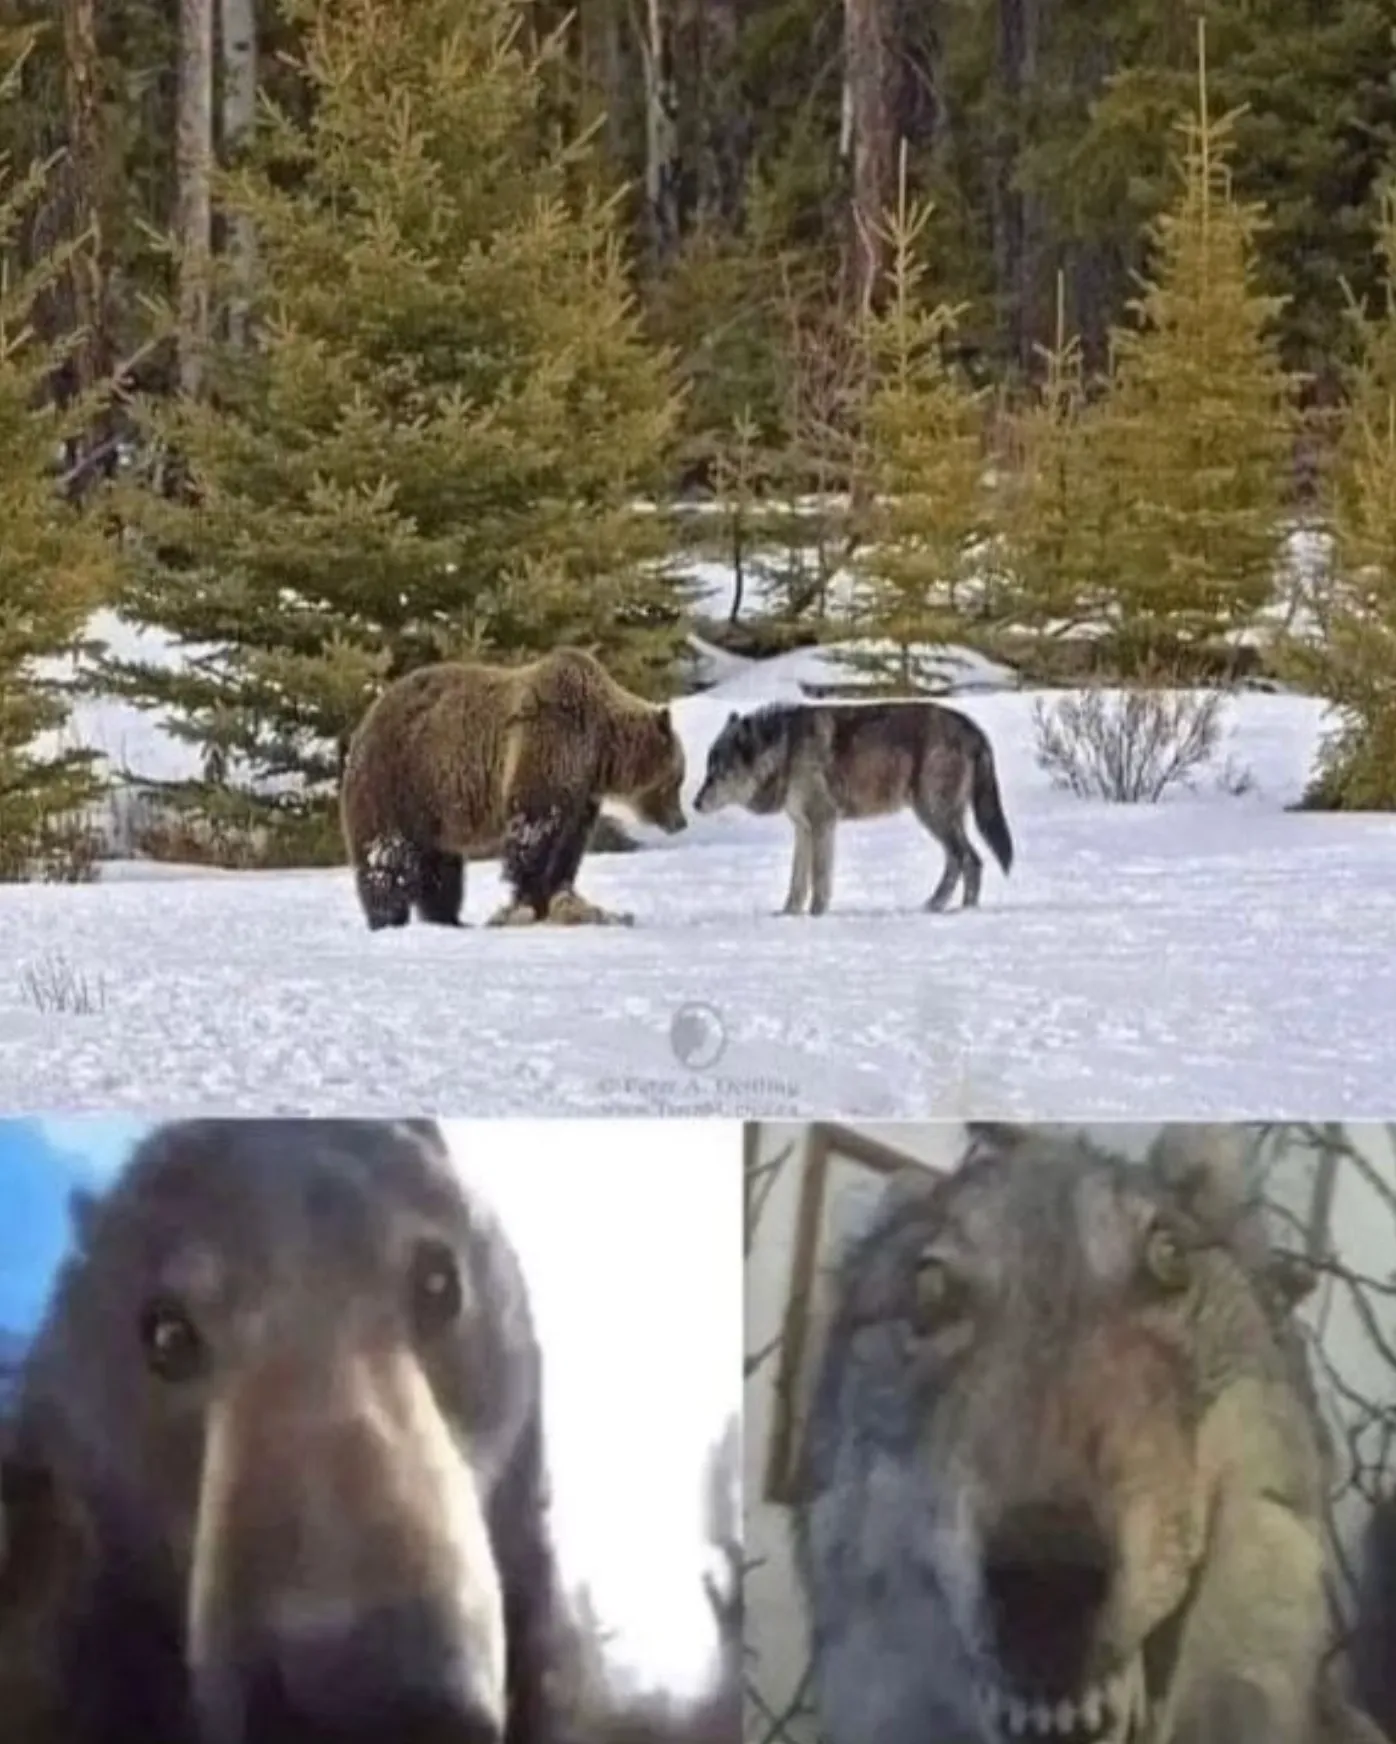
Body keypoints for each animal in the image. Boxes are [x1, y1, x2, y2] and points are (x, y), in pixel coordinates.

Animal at [339, 648, 688, 933]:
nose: (681, 821)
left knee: (441, 868)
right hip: (397, 780)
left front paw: (558, 895)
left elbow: (569, 845)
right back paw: (388, 918)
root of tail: (365, 722)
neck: (599, 748)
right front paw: (527, 900)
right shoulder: (551, 745)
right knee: (387, 857)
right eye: (677, 779)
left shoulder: (582, 792)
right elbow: (533, 830)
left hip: (432, 807)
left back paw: (449, 919)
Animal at [692, 700, 1013, 916]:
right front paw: (789, 914)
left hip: (933, 814)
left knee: (966, 858)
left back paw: (942, 907)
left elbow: (820, 878)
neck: (786, 752)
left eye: (718, 773)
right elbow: (797, 881)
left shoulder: (822, 822)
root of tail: (974, 729)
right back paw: (961, 908)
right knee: (971, 860)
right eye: (708, 770)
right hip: (943, 818)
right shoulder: (803, 827)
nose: (694, 803)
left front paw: (816, 914)